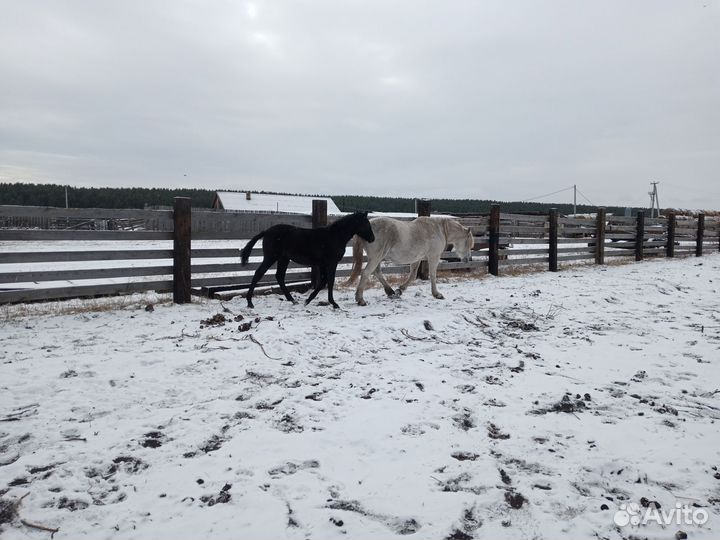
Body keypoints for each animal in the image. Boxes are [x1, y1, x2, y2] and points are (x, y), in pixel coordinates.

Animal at [240, 211, 375, 309]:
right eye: (366, 224)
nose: (372, 239)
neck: (335, 236)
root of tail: (266, 231)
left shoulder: (323, 264)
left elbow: (323, 281)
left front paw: (308, 300)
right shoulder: (331, 263)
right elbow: (329, 281)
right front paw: (333, 303)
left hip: (283, 259)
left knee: (279, 276)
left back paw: (292, 300)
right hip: (271, 257)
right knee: (259, 273)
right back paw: (250, 302)